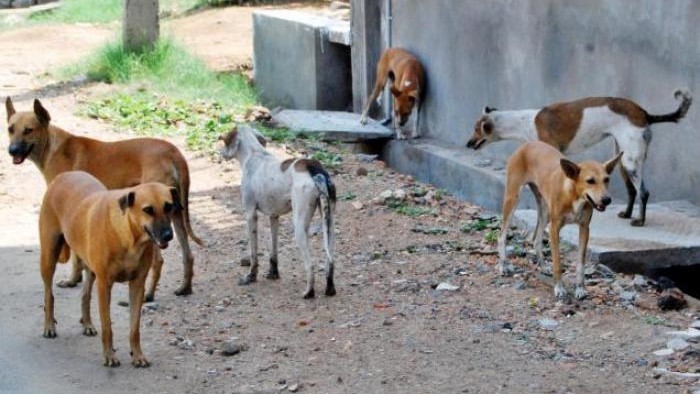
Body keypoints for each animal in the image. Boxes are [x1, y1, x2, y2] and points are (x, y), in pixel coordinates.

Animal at [4, 97, 202, 298]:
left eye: (29, 130)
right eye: (10, 129)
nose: (12, 150)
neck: (52, 146)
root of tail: (173, 152)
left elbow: (75, 256)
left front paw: (72, 279)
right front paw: (76, 279)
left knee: (159, 261)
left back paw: (149, 295)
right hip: (175, 214)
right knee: (188, 256)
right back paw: (185, 288)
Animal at [39, 171, 179, 368]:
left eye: (169, 206)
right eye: (148, 210)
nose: (168, 235)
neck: (129, 237)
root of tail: (64, 175)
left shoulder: (137, 285)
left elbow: (134, 327)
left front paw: (137, 355)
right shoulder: (104, 285)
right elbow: (107, 326)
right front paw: (109, 356)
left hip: (89, 268)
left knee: (85, 295)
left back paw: (87, 324)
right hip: (48, 256)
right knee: (48, 294)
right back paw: (49, 325)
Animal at [219, 124, 340, 298]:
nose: (220, 153)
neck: (254, 154)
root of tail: (315, 170)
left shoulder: (250, 215)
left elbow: (254, 254)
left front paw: (251, 276)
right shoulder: (274, 216)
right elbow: (273, 250)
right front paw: (273, 273)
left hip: (300, 228)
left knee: (310, 265)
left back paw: (308, 292)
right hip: (329, 224)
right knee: (331, 260)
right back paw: (330, 288)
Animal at [468, 88, 692, 226]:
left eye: (476, 130)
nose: (468, 144)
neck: (525, 121)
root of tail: (645, 113)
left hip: (631, 162)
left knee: (643, 192)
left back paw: (639, 221)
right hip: (621, 160)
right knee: (632, 190)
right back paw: (627, 214)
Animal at [498, 142, 624, 298]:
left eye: (607, 179)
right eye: (590, 181)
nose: (607, 200)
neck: (574, 197)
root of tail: (527, 144)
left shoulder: (584, 228)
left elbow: (581, 263)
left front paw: (579, 288)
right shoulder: (554, 228)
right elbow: (557, 261)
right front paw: (559, 287)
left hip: (545, 211)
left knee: (537, 240)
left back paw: (543, 266)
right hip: (513, 199)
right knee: (502, 235)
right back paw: (503, 265)